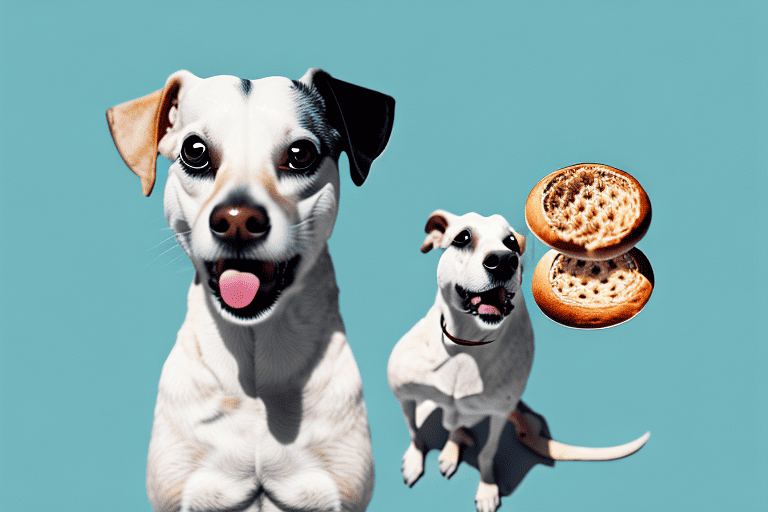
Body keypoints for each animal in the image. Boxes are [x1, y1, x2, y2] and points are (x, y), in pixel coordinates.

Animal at [390, 210, 648, 512]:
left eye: (511, 242)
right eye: (462, 237)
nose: (504, 260)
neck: (466, 345)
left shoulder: (500, 413)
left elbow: (488, 452)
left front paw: (487, 488)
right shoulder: (403, 394)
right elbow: (413, 432)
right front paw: (415, 459)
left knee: (457, 427)